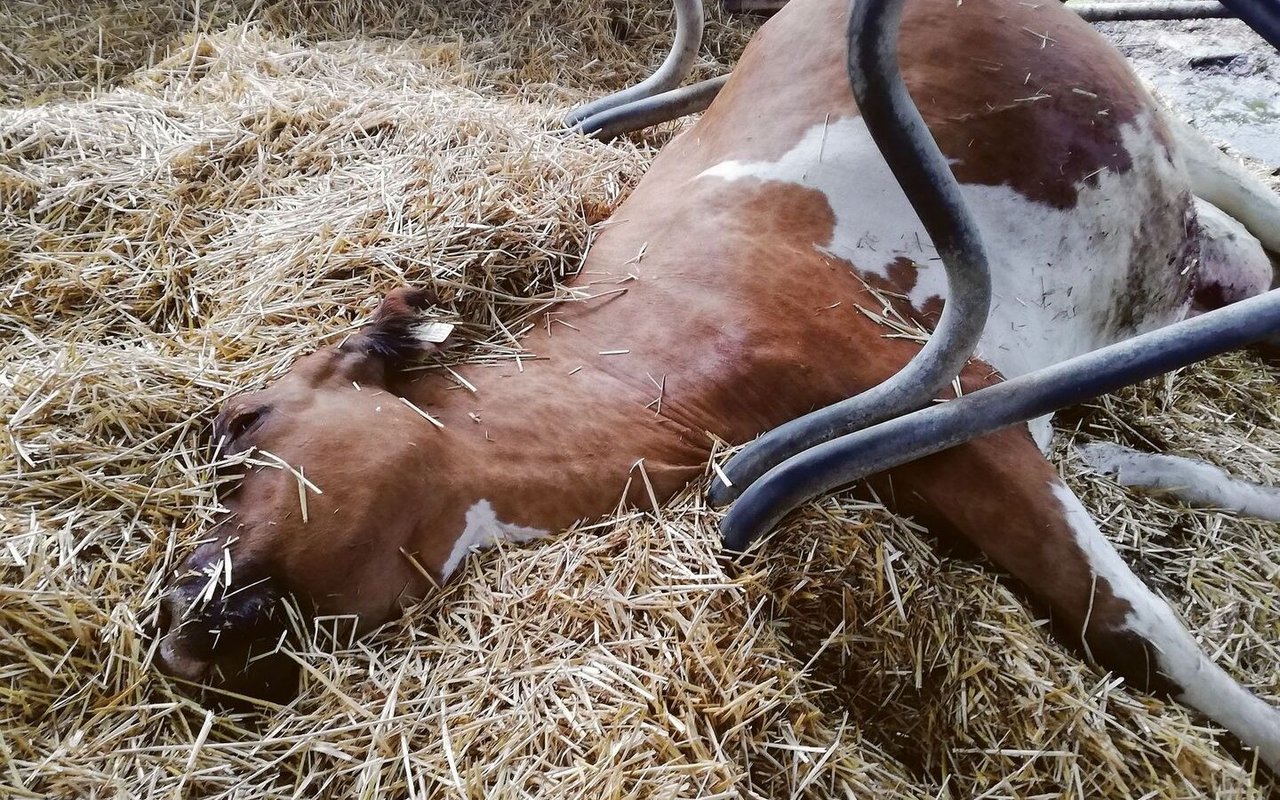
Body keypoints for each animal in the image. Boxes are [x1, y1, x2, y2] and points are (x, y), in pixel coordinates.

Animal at [157, 0, 1280, 773]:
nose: (171, 625)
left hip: (1166, 130)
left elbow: (1143, 633)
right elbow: (1146, 520)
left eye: (242, 423)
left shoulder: (957, 411)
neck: (658, 359)